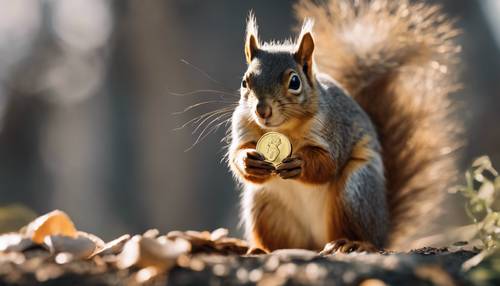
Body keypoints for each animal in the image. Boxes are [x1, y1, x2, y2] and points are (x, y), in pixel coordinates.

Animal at [227, 0, 460, 251]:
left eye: (295, 82)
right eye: (245, 82)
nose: (262, 110)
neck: (283, 128)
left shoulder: (333, 129)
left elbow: (328, 163)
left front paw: (300, 162)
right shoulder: (242, 124)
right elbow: (236, 155)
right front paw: (248, 160)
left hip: (355, 191)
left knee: (366, 236)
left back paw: (353, 244)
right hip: (265, 204)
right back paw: (260, 249)